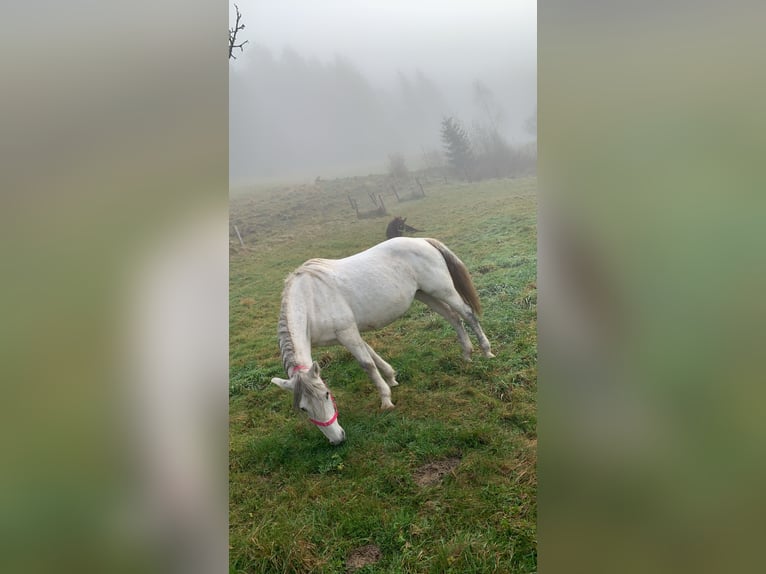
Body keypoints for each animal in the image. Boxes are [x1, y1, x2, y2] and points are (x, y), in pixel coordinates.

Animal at [272, 237, 496, 446]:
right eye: (303, 408)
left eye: (327, 394)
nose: (337, 439)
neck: (311, 300)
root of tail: (423, 241)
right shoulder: (347, 335)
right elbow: (372, 355)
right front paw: (391, 377)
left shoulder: (347, 332)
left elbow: (367, 364)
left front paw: (386, 400)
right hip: (425, 294)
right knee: (453, 317)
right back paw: (467, 354)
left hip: (443, 290)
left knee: (467, 314)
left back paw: (486, 351)